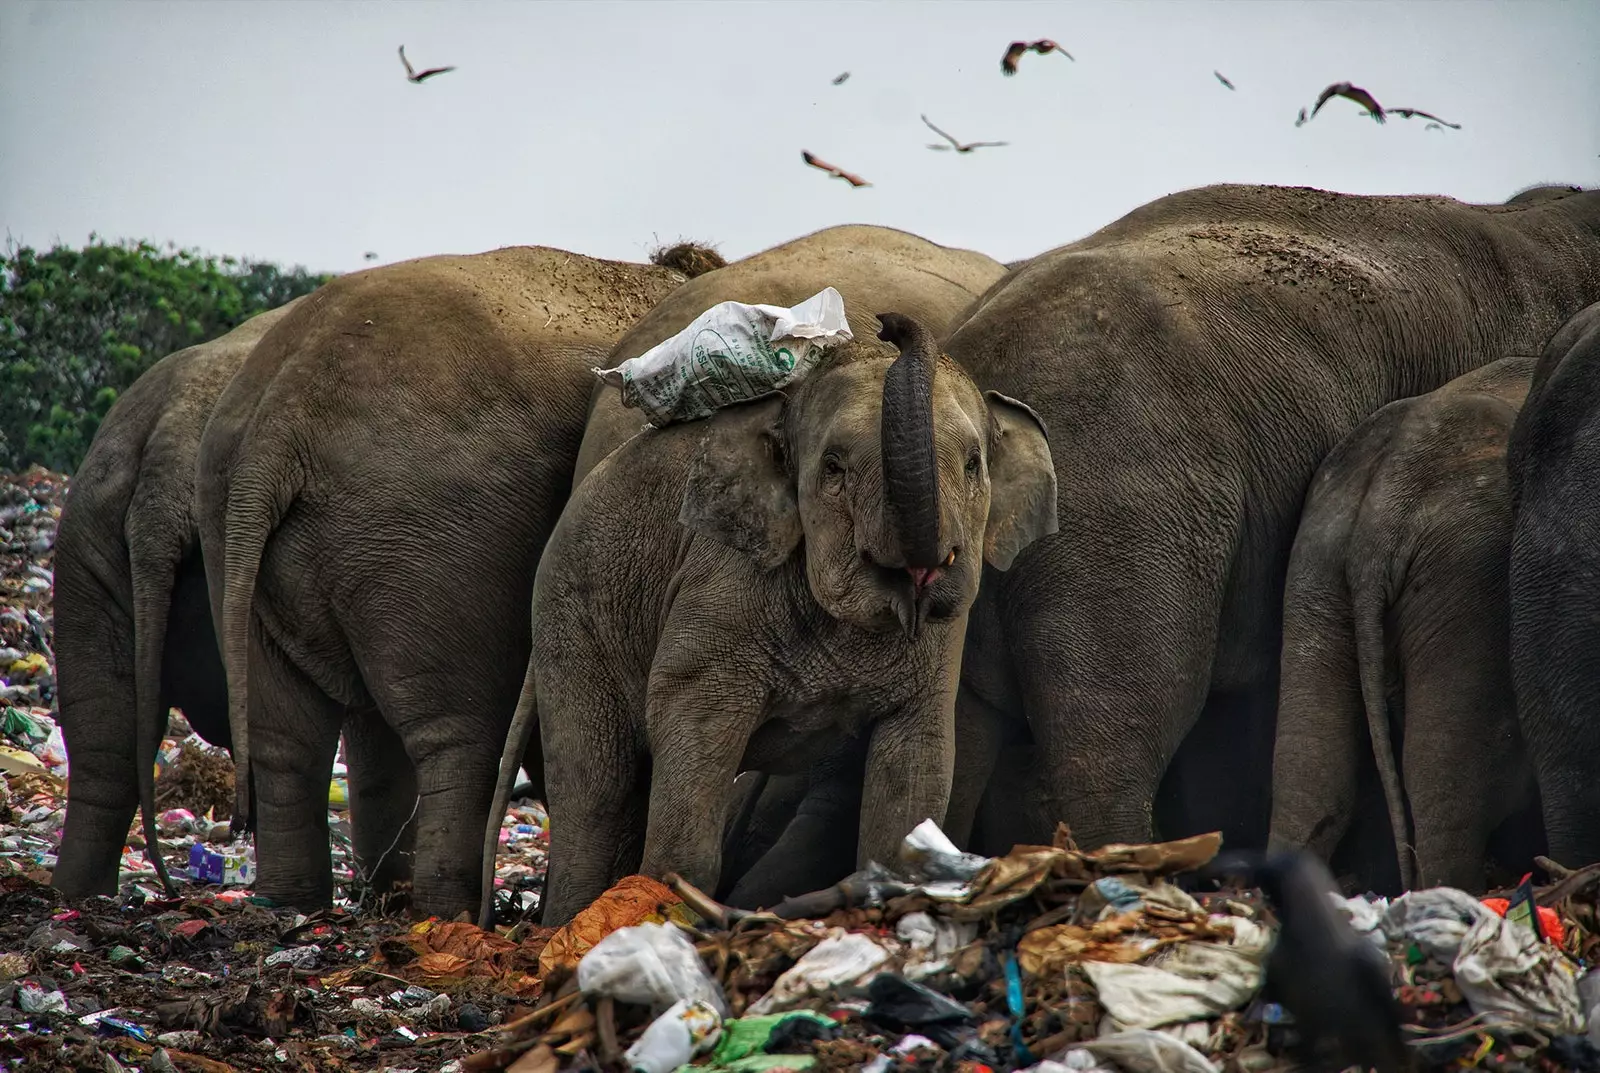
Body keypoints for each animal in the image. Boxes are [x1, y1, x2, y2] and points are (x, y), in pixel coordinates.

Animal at [190, 246, 697, 914]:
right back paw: (445, 909)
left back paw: (297, 904)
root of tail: (278, 418)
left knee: (285, 739)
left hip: (235, 534)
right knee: (457, 739)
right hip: (430, 539)